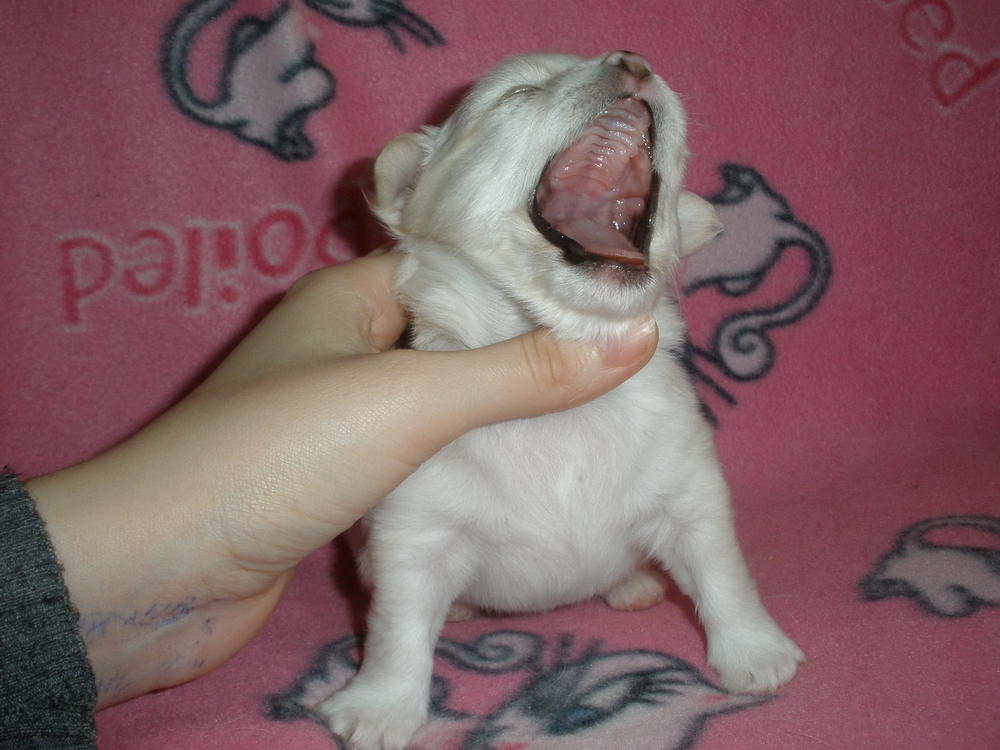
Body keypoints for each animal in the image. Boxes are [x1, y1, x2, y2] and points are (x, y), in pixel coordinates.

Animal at [317, 51, 804, 750]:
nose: (634, 60)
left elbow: (723, 574)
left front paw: (755, 653)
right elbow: (396, 631)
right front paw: (380, 709)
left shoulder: (693, 493)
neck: (565, 412)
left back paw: (635, 584)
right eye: (518, 92)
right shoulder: (411, 532)